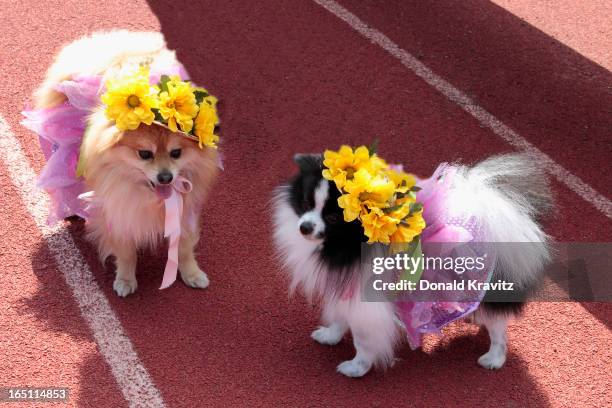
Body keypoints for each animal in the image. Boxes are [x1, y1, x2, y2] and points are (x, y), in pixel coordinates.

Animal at [33, 29, 219, 296]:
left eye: (176, 153)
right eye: (144, 154)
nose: (166, 177)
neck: (149, 198)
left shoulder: (185, 209)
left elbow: (183, 247)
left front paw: (192, 273)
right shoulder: (117, 212)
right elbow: (126, 252)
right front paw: (125, 279)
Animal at [272, 151, 556, 378]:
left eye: (332, 217)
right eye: (306, 203)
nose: (305, 227)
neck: (342, 245)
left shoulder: (367, 302)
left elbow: (363, 339)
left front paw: (356, 368)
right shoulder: (347, 288)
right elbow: (341, 318)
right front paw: (330, 336)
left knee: (498, 326)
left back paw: (494, 358)